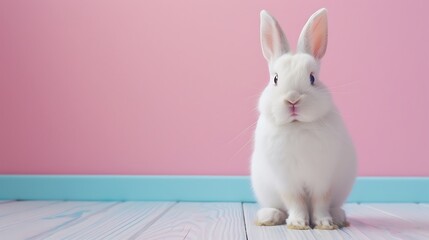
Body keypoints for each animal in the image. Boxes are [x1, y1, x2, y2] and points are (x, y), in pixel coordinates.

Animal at [249, 8, 356, 231]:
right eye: (275, 79)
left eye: (312, 78)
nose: (292, 99)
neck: (297, 126)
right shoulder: (286, 181)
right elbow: (295, 201)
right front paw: (298, 223)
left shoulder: (322, 178)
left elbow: (321, 201)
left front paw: (324, 223)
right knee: (278, 208)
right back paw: (269, 217)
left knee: (333, 206)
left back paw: (338, 217)